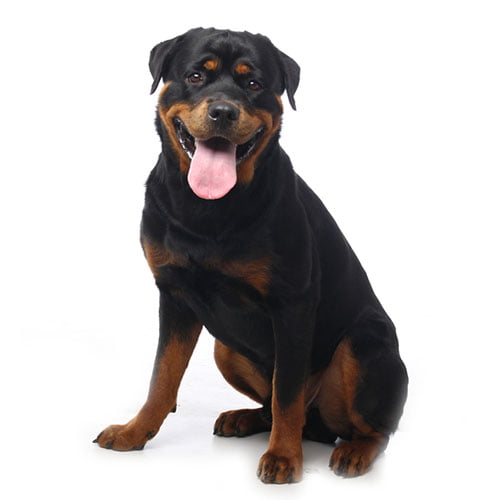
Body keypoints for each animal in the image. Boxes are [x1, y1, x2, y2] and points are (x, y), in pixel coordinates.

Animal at [94, 27, 408, 484]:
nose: (223, 111)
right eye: (194, 76)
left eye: (254, 83)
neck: (209, 210)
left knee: (371, 427)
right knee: (276, 407)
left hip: (365, 343)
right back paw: (243, 418)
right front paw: (134, 432)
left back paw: (354, 451)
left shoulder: (292, 304)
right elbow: (162, 377)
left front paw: (283, 458)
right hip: (225, 348)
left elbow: (287, 393)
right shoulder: (174, 295)